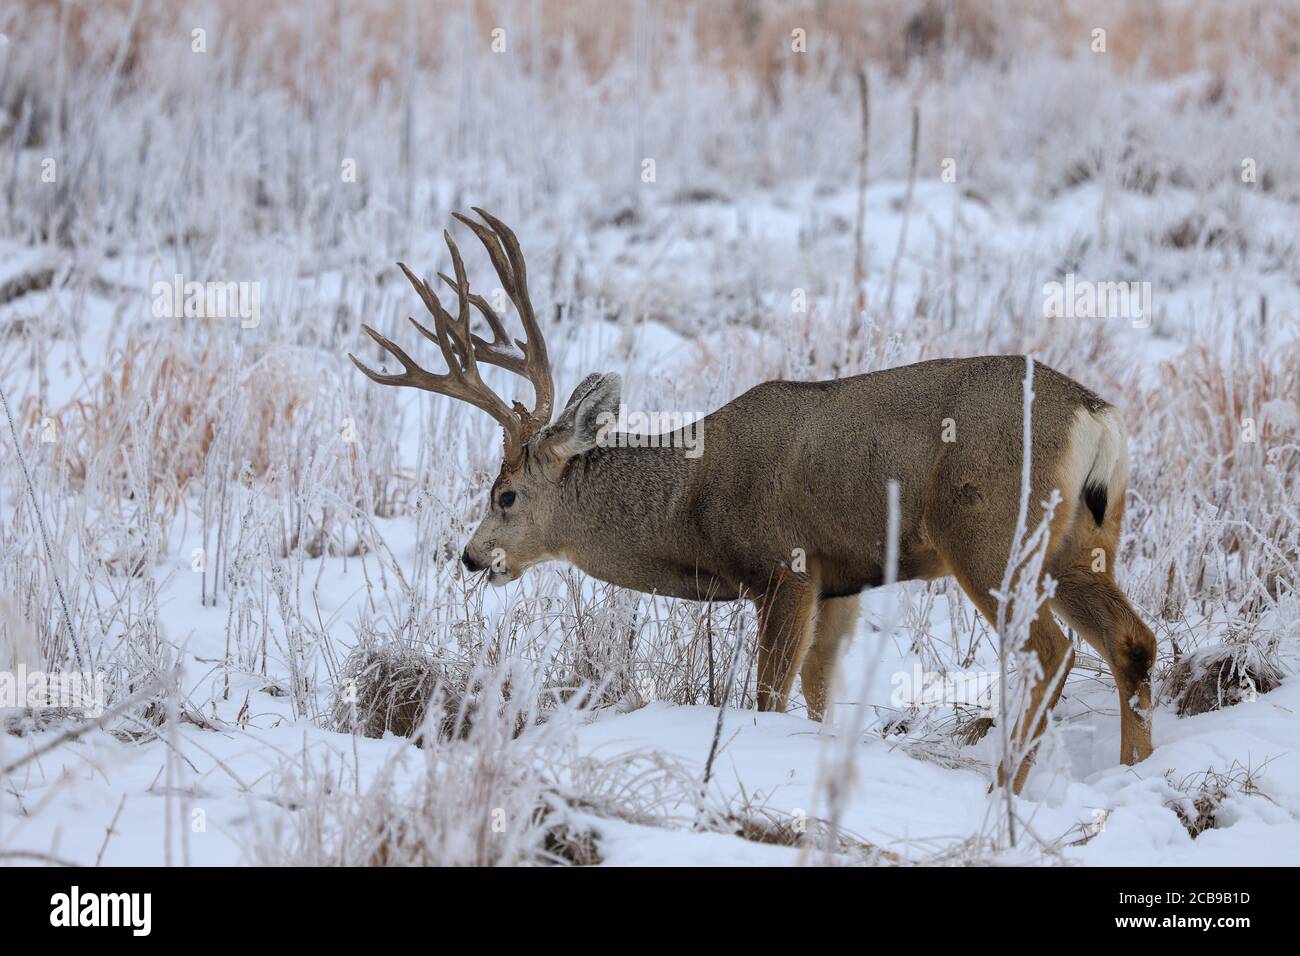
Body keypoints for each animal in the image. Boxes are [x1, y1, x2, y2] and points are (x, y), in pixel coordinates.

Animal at [350, 208, 1156, 794]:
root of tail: (1095, 412)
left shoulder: (784, 566)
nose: (471, 556)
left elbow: (767, 697)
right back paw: (1135, 775)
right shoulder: (841, 581)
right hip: (1083, 539)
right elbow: (818, 695)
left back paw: (1007, 788)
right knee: (1132, 640)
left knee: (1050, 651)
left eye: (506, 494)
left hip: (990, 533)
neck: (690, 505)